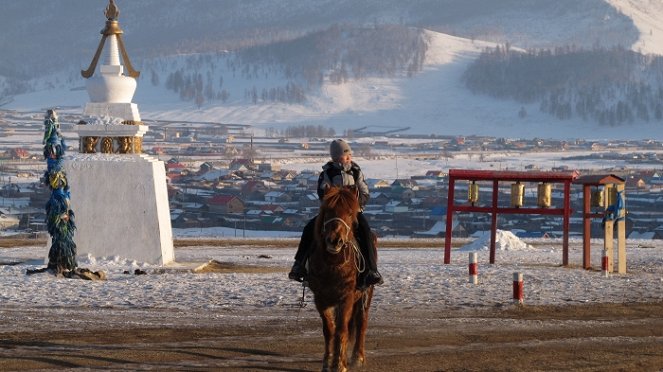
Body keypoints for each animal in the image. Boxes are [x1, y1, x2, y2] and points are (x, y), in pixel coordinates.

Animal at [308, 186, 376, 372]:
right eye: (328, 211)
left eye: (350, 212)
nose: (334, 241)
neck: (333, 264)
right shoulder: (320, 298)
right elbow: (329, 330)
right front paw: (327, 362)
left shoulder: (346, 298)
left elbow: (342, 330)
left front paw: (339, 365)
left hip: (366, 294)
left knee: (361, 322)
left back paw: (358, 357)